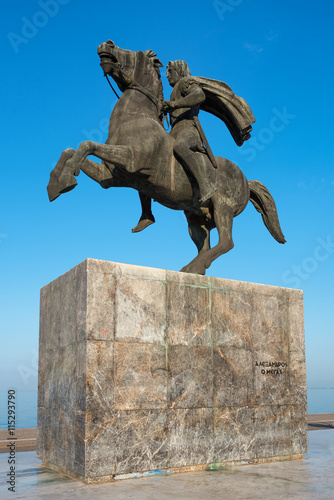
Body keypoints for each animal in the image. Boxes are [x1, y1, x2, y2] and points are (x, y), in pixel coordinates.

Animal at [48, 39, 286, 276]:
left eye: (133, 53)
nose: (107, 43)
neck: (134, 118)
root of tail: (246, 180)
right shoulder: (113, 177)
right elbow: (71, 150)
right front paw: (55, 185)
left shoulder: (132, 160)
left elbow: (86, 145)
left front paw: (66, 180)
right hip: (195, 217)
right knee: (205, 245)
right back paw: (192, 268)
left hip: (223, 207)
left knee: (226, 242)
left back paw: (197, 264)